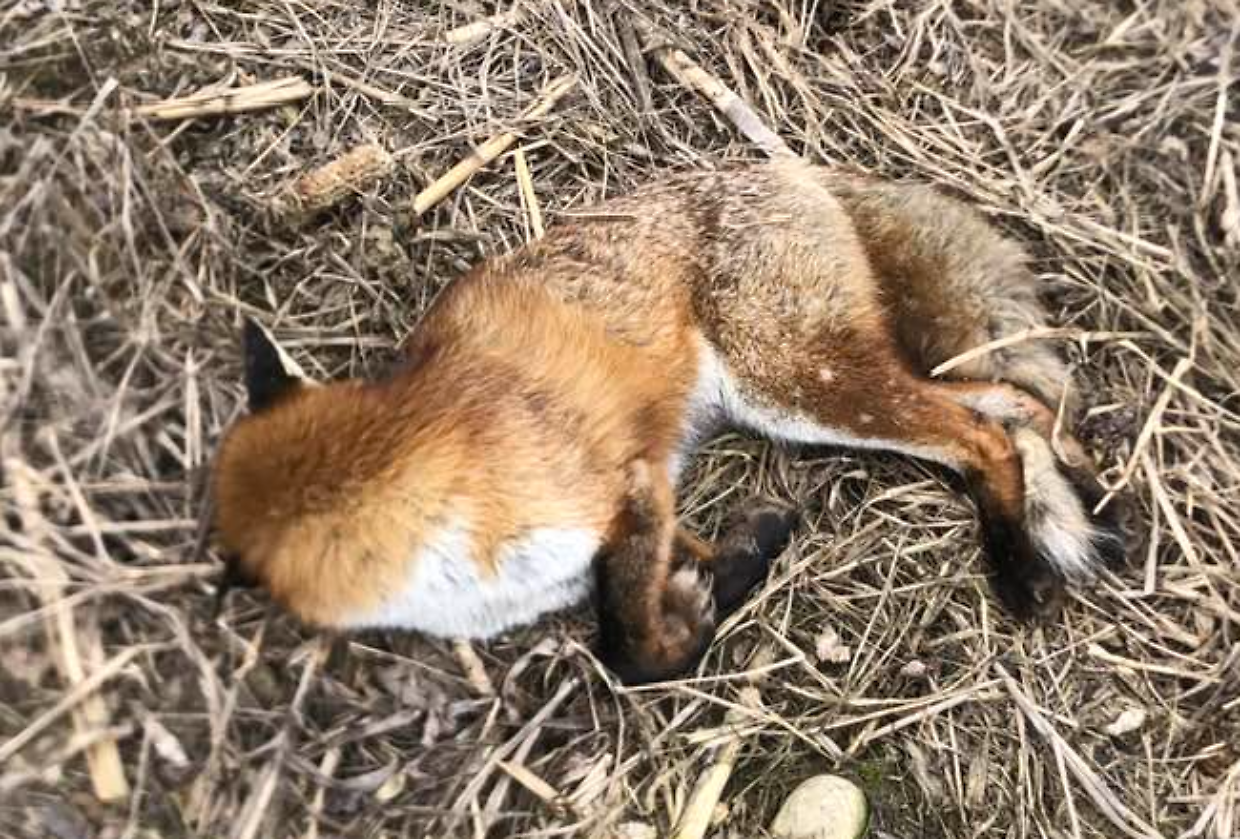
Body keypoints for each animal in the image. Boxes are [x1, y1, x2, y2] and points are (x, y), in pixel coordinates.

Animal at [211, 159, 1125, 685]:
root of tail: (800, 168)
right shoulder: (647, 516)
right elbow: (679, 578)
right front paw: (727, 573)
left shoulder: (632, 484)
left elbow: (627, 652)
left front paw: (709, 598)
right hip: (824, 389)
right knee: (1013, 404)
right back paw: (1087, 485)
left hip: (797, 386)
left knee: (982, 435)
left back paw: (1018, 568)